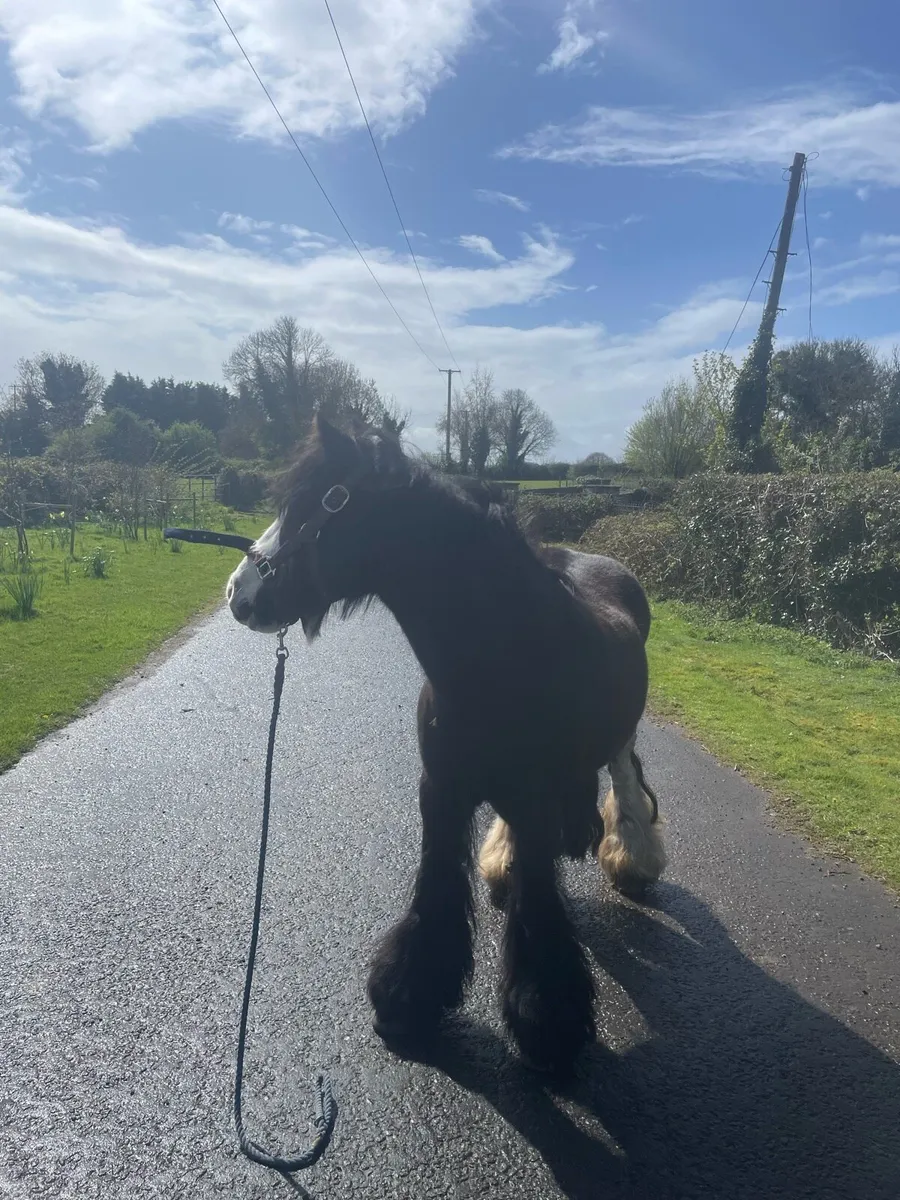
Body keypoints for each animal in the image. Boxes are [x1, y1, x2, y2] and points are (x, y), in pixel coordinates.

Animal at [225, 415, 666, 1073]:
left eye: (312, 503)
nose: (238, 593)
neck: (498, 658)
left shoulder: (534, 804)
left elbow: (539, 910)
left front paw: (548, 1024)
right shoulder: (442, 792)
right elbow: (435, 887)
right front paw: (407, 998)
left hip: (620, 738)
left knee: (628, 788)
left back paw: (633, 861)